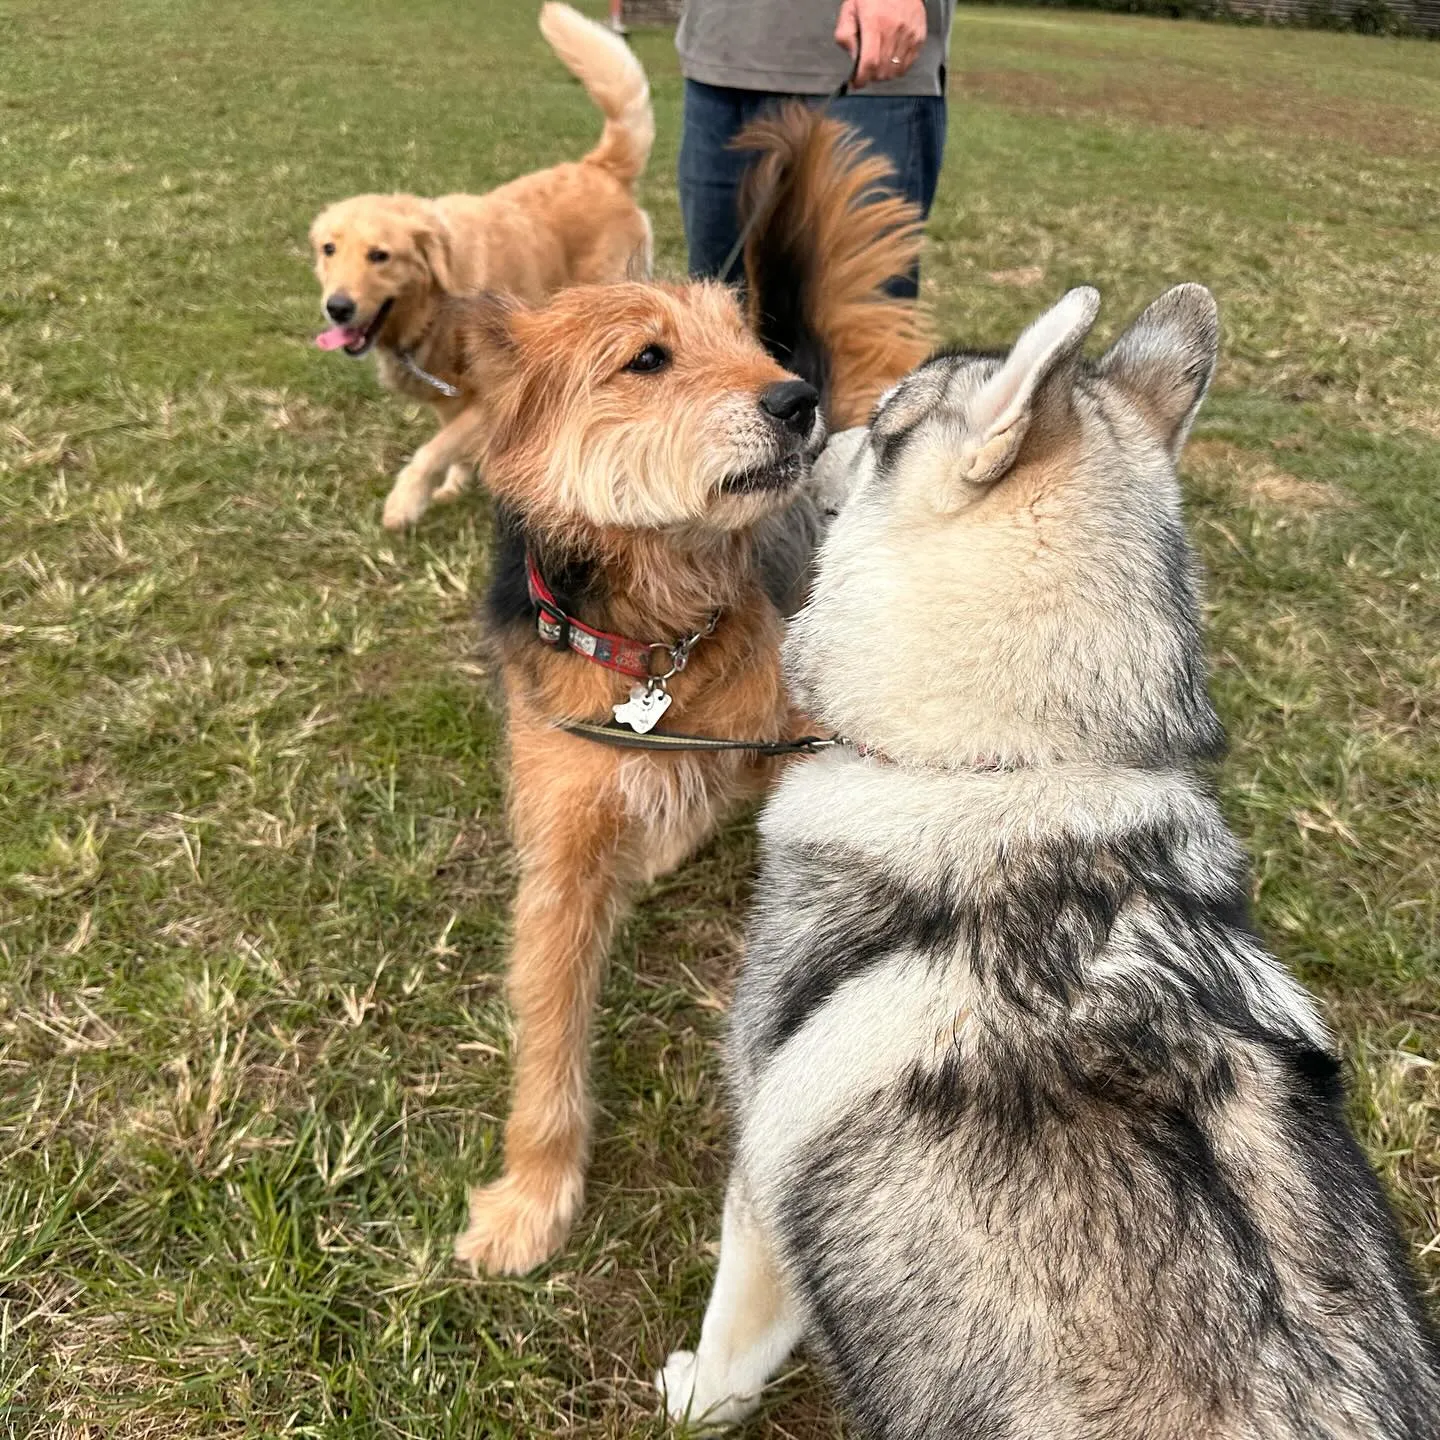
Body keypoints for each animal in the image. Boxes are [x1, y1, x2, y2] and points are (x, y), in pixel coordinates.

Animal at [312, 1, 656, 529]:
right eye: (329, 249)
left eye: (380, 255)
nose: (338, 308)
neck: (437, 305)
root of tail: (600, 168)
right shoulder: (452, 398)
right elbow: (452, 449)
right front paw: (454, 484)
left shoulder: (496, 395)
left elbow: (430, 452)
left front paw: (404, 502)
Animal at [443, 109, 927, 1272]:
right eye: (648, 358)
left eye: (745, 341)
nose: (795, 399)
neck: (663, 631)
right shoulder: (561, 846)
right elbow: (549, 1033)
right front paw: (534, 1197)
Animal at [656, 286, 1440, 1434]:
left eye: (884, 420)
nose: (813, 430)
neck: (1014, 769)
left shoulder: (759, 1188)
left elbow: (729, 1343)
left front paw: (693, 1398)